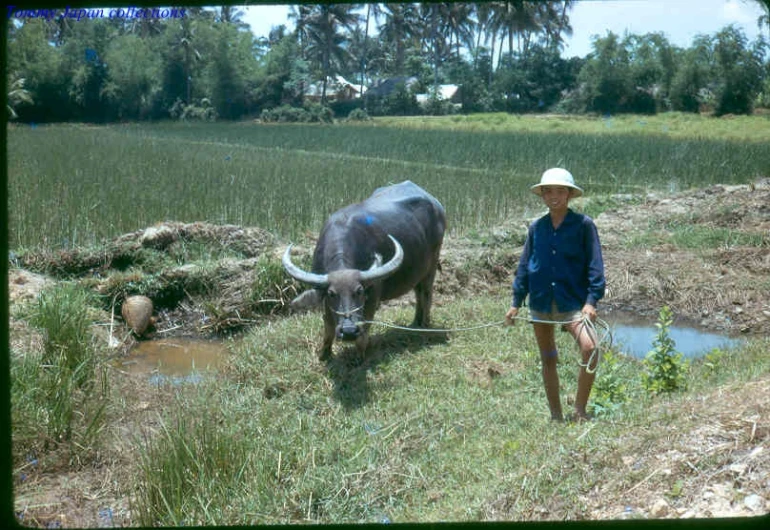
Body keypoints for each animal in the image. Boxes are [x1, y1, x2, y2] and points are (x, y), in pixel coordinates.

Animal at [284, 180, 448, 358]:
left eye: (359, 291)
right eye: (332, 294)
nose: (349, 332)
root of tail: (437, 205)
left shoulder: (373, 296)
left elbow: (365, 328)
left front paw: (360, 356)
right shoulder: (324, 297)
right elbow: (328, 326)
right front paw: (325, 354)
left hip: (432, 264)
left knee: (426, 293)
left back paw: (424, 326)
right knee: (418, 293)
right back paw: (415, 323)